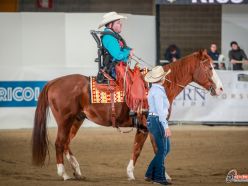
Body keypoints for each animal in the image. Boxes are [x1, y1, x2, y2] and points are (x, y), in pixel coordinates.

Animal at [31, 50, 223, 181]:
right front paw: (164, 175)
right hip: (65, 121)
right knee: (59, 143)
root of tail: (53, 82)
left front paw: (131, 173)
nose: (220, 89)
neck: (159, 85)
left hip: (76, 120)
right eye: (210, 67)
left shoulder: (143, 127)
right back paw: (63, 173)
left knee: (66, 143)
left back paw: (77, 170)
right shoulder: (153, 125)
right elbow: (157, 148)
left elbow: (137, 148)